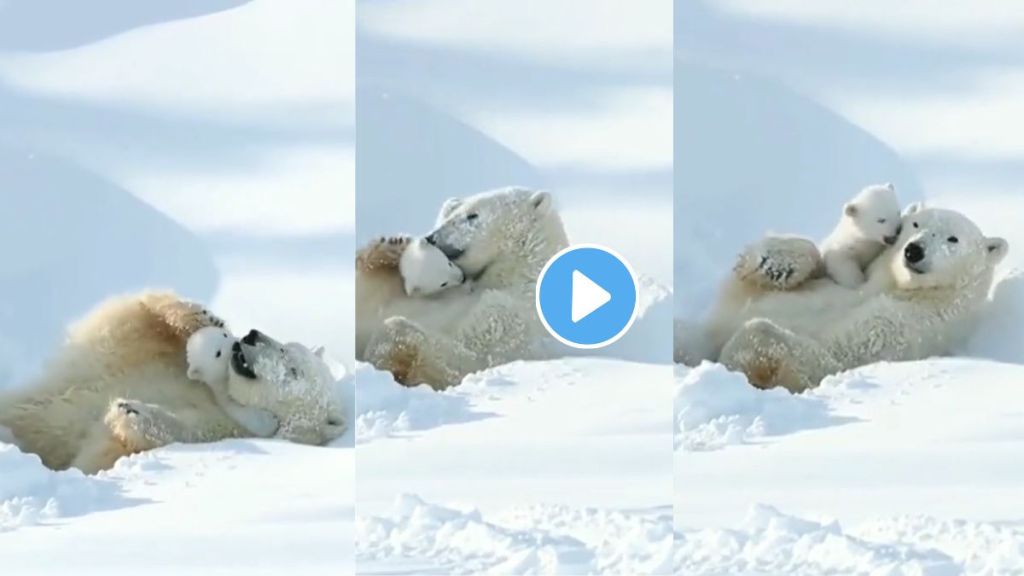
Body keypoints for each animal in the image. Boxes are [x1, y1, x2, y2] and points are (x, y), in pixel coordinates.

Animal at [0, 291, 344, 471]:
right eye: (287, 345)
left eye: (293, 370)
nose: (252, 336)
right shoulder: (149, 357)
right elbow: (131, 318)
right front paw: (204, 318)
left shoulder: (221, 429)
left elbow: (120, 445)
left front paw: (130, 410)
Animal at [358, 186, 569, 387]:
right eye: (449, 214)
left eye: (472, 215)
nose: (431, 237)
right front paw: (392, 246)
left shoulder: (512, 318)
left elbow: (466, 358)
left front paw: (384, 355)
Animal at [679, 203, 1007, 391]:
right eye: (916, 224)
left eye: (953, 239)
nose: (914, 250)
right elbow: (746, 286)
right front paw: (776, 264)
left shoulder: (906, 327)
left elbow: (828, 358)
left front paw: (730, 365)